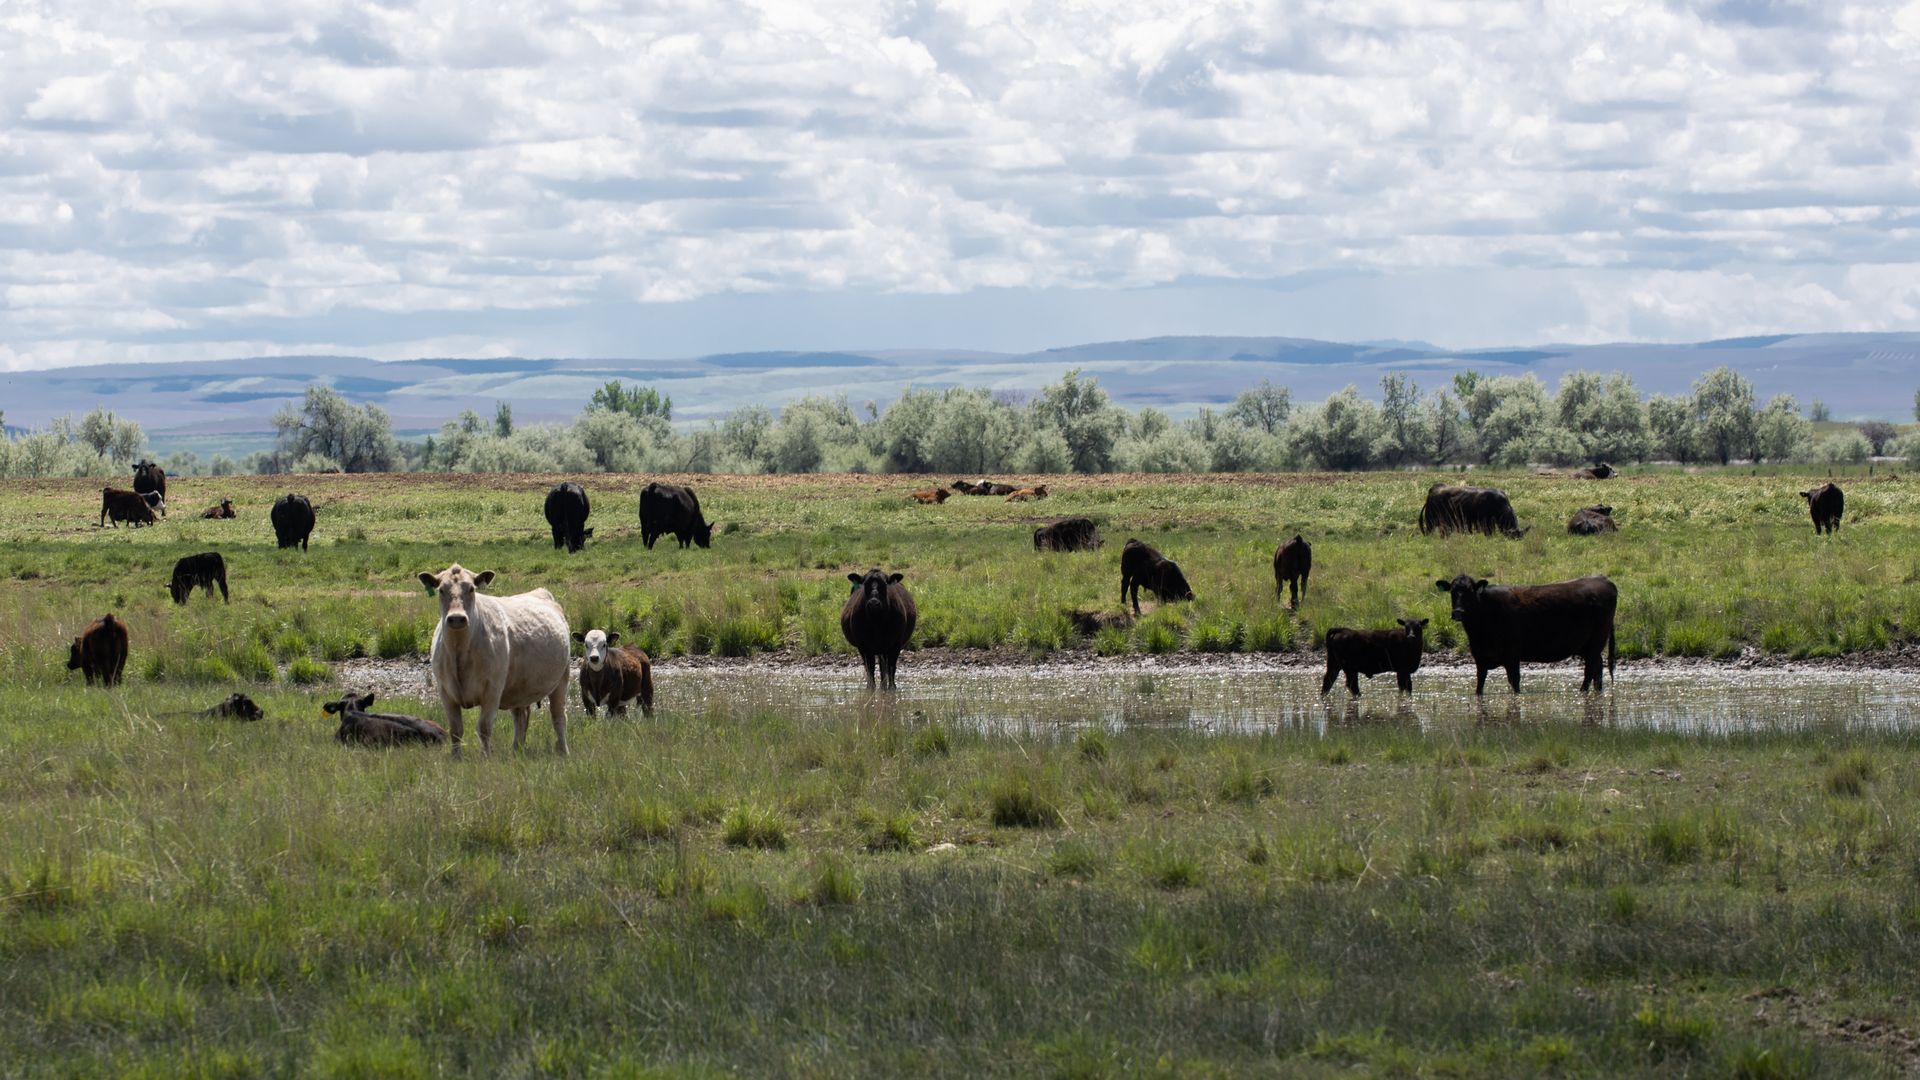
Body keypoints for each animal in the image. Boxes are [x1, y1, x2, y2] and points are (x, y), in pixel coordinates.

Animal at [417, 564, 572, 753]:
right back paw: (516, 751)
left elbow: (484, 728)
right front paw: (455, 756)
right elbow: (455, 730)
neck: (459, 651)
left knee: (558, 717)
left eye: (471, 589)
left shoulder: (492, 689)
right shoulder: (445, 691)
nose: (456, 618)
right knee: (521, 717)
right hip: (518, 687)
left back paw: (564, 751)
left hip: (562, 678)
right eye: (441, 590)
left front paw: (486, 756)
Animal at [1435, 574, 1617, 694]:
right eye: (1452, 592)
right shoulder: (1479, 658)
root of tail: (1603, 579)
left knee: (1590, 670)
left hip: (1596, 641)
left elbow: (1514, 682)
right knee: (1598, 668)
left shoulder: (1512, 655)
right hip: (1586, 646)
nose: (1458, 612)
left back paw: (1582, 691)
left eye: (1470, 592)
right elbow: (1479, 686)